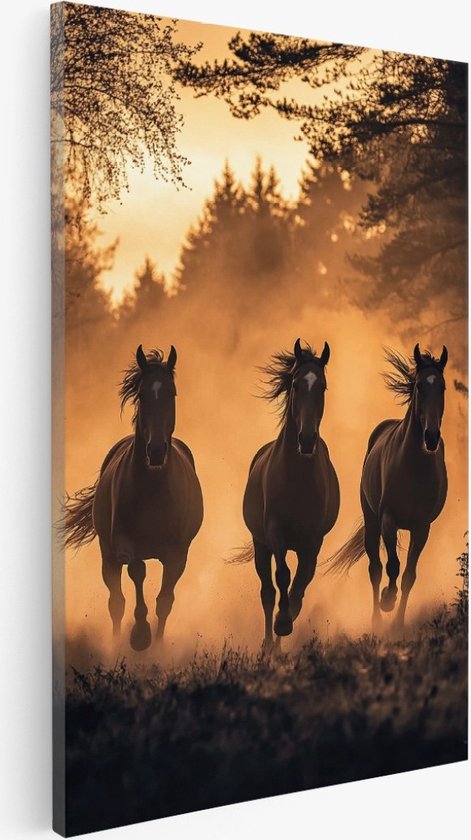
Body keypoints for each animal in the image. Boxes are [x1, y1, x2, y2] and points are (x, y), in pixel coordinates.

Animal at [61, 344, 204, 651]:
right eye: (141, 393)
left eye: (171, 392)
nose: (156, 451)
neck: (153, 490)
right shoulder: (123, 545)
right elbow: (137, 570)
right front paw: (140, 634)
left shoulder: (178, 553)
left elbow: (165, 601)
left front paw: (157, 644)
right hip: (107, 554)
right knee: (116, 601)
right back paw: (116, 642)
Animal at [233, 338, 340, 651]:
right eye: (295, 384)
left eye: (322, 386)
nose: (306, 439)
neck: (297, 480)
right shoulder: (274, 533)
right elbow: (282, 577)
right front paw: (281, 624)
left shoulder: (313, 541)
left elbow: (300, 586)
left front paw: (288, 621)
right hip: (260, 545)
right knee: (268, 592)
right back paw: (270, 644)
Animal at [327, 344, 448, 635]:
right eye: (419, 386)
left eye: (442, 387)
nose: (431, 437)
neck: (414, 467)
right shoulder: (388, 520)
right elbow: (392, 566)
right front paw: (387, 600)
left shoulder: (422, 527)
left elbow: (409, 576)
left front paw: (399, 623)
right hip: (372, 521)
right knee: (375, 567)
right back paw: (376, 618)